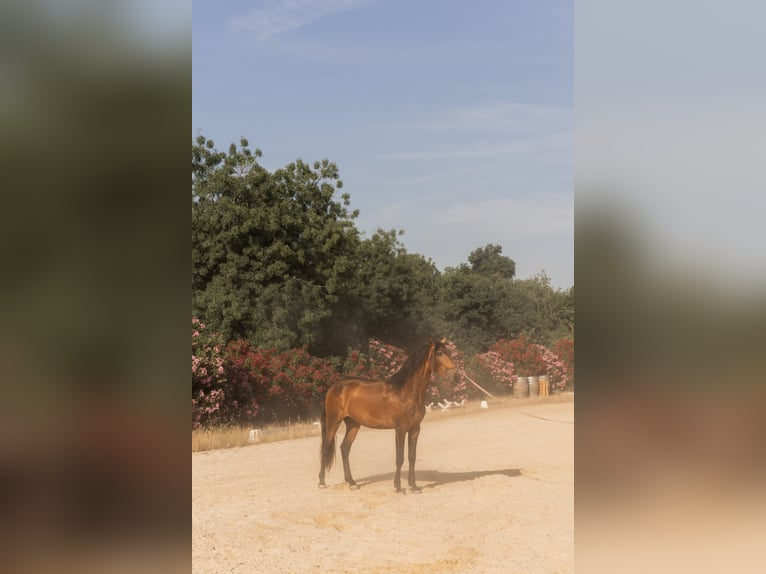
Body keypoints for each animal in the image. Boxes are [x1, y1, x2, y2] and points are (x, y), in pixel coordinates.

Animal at [318, 338, 456, 493]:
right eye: (439, 353)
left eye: (447, 351)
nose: (455, 374)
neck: (405, 392)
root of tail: (334, 386)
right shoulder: (400, 429)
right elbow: (400, 457)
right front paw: (398, 487)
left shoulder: (415, 429)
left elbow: (412, 457)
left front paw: (413, 486)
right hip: (333, 422)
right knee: (326, 448)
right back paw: (322, 482)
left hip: (353, 424)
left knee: (345, 449)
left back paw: (352, 483)